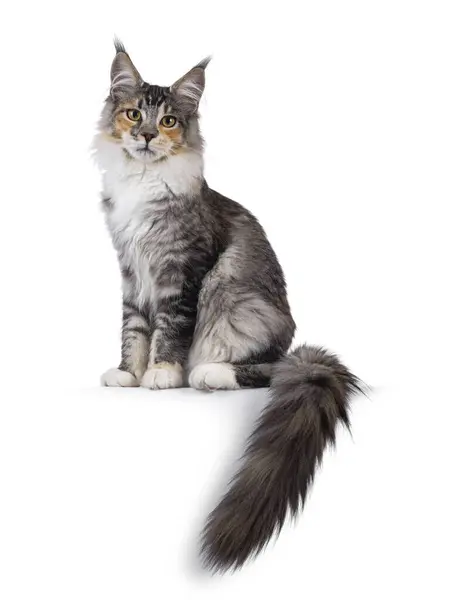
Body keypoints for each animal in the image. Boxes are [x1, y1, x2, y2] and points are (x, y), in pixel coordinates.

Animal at [93, 39, 364, 576]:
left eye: (169, 121)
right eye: (133, 114)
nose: (148, 135)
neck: (143, 180)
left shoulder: (184, 271)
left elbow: (169, 329)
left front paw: (161, 373)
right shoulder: (132, 274)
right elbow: (133, 329)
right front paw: (128, 374)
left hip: (239, 306)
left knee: (266, 367)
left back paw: (207, 374)